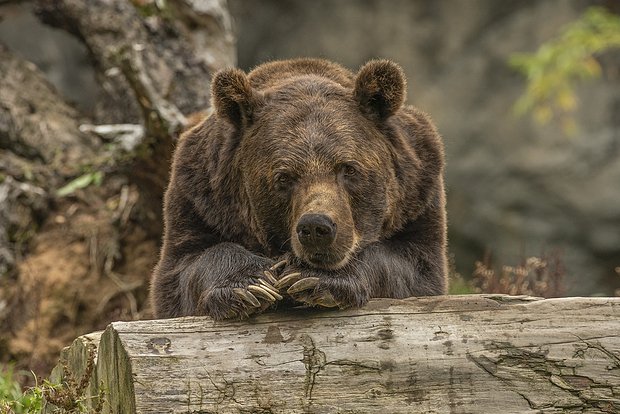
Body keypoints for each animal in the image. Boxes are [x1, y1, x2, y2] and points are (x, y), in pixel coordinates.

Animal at [153, 57, 448, 320]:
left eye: (348, 168)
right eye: (284, 177)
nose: (316, 227)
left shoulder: (418, 194)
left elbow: (413, 267)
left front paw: (312, 277)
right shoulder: (200, 198)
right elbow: (184, 268)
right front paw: (251, 285)